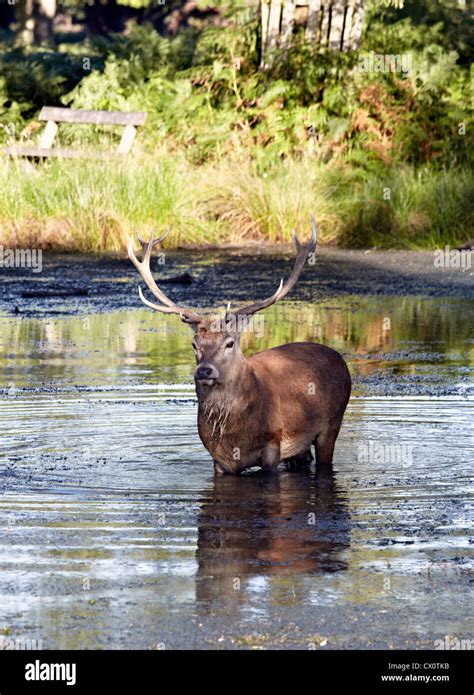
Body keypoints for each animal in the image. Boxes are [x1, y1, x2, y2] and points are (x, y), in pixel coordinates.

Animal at [128, 219, 350, 478]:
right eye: (194, 344)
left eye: (229, 343)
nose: (204, 370)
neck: (236, 433)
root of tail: (338, 357)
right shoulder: (218, 460)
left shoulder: (273, 444)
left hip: (332, 423)